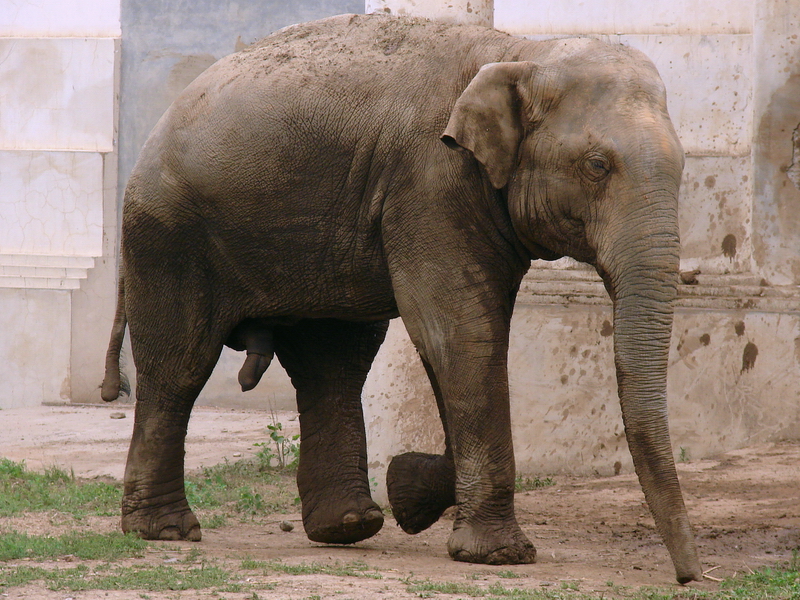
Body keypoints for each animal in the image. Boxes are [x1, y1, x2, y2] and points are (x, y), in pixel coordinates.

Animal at [101, 13, 702, 583]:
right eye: (597, 166)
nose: (689, 576)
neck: (522, 51)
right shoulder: (430, 183)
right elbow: (460, 331)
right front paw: (498, 554)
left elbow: (462, 336)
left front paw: (410, 491)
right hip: (168, 231)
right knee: (180, 366)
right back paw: (167, 531)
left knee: (334, 361)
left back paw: (348, 525)